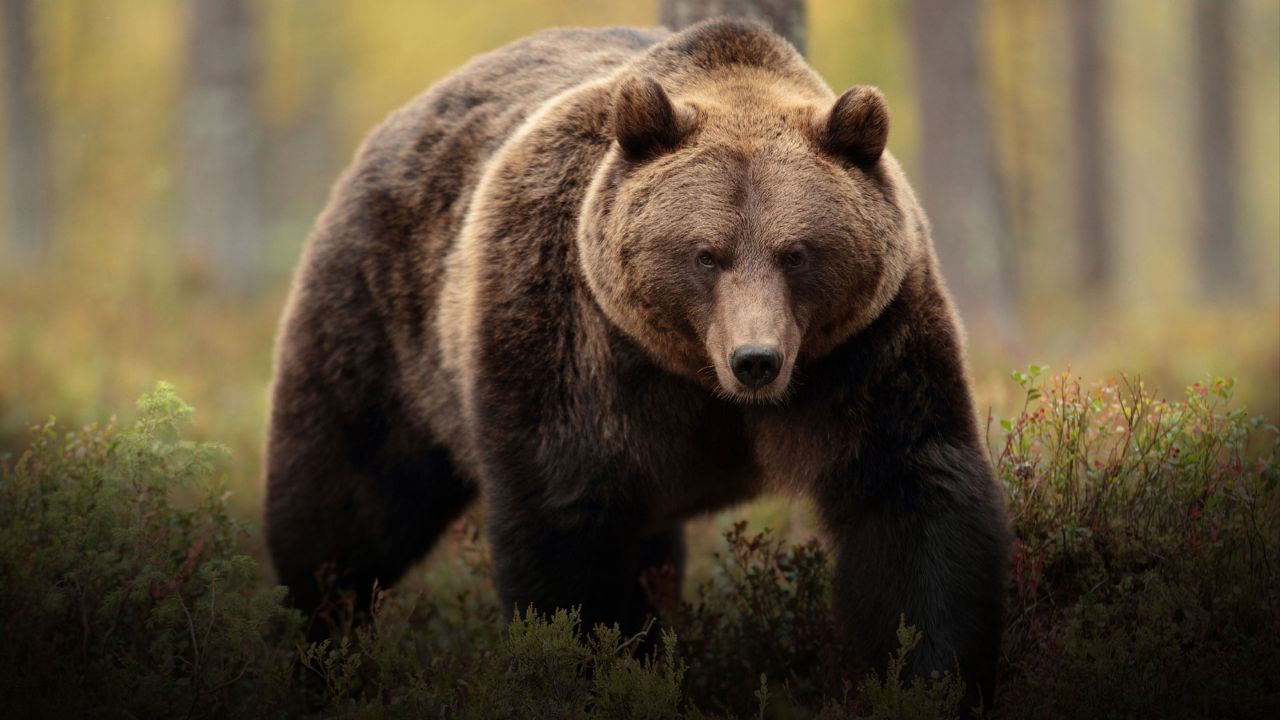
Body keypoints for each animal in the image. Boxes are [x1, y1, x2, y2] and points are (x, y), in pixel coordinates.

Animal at [267, 19, 1008, 702]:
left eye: (797, 252)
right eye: (705, 254)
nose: (756, 359)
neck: (699, 377)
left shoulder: (870, 345)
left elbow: (910, 500)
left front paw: (934, 677)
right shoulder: (574, 338)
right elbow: (563, 521)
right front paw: (577, 668)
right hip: (382, 325)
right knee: (346, 510)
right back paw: (313, 649)